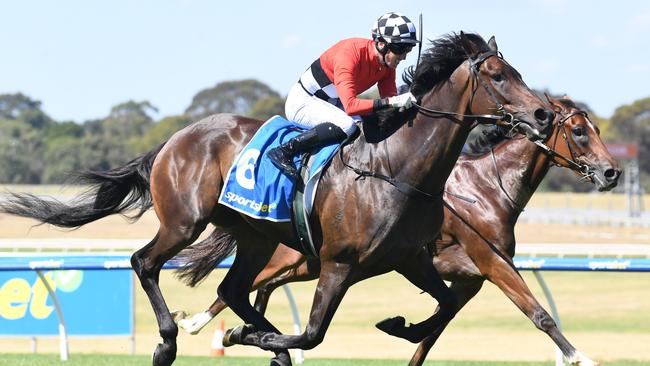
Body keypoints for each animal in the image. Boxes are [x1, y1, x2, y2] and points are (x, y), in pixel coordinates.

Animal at [0, 32, 552, 366]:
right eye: (499, 76)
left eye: (519, 72)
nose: (544, 115)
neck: (396, 167)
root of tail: (175, 138)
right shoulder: (338, 262)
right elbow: (312, 333)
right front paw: (260, 339)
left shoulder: (409, 258)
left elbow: (441, 307)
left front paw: (397, 324)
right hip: (184, 221)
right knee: (144, 262)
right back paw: (170, 340)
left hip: (256, 236)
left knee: (234, 289)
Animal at [172, 96, 616, 364]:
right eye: (579, 131)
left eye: (596, 129)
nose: (612, 172)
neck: (488, 187)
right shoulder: (491, 262)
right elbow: (538, 313)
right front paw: (580, 356)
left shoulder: (467, 280)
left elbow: (433, 330)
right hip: (297, 257)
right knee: (246, 285)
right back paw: (199, 324)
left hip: (309, 264)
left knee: (260, 287)